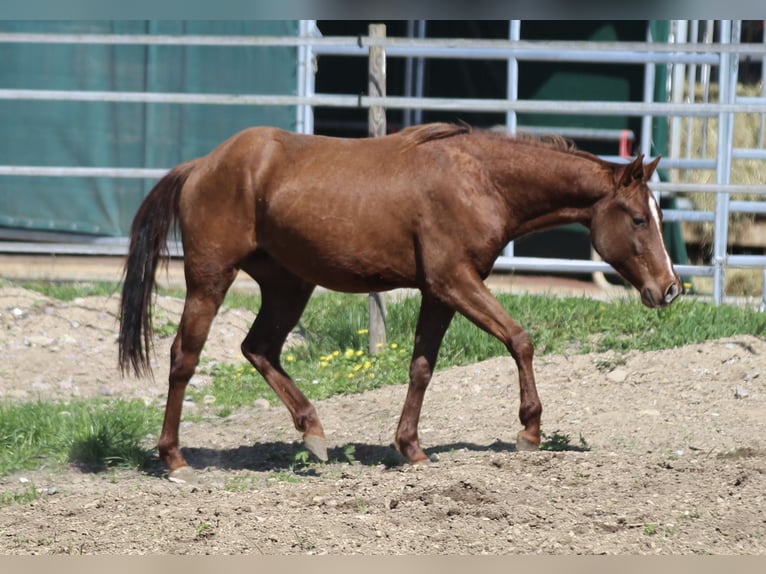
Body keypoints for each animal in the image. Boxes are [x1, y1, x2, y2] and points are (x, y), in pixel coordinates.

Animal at [118, 122, 682, 481]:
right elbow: (519, 339)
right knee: (185, 357)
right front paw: (530, 430)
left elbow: (421, 367)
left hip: (289, 285)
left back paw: (314, 434)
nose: (671, 288)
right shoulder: (456, 281)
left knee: (259, 349)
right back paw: (175, 461)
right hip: (209, 280)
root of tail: (201, 166)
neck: (481, 179)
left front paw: (411, 449)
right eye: (639, 218)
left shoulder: (440, 292)